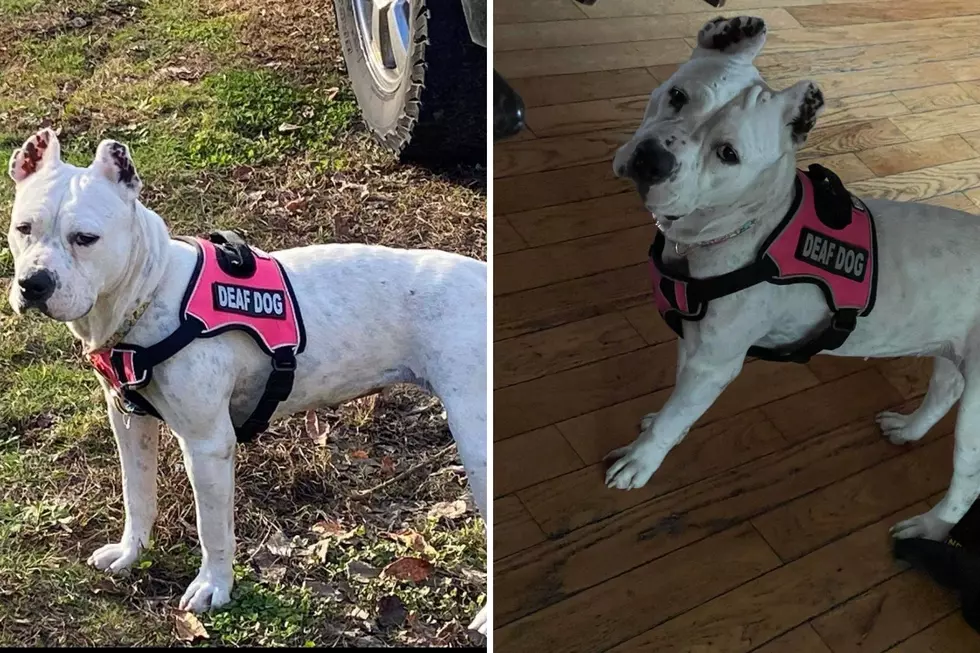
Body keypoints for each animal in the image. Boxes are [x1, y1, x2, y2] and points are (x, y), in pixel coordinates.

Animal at [3, 127, 486, 632]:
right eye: (23, 228)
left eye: (86, 238)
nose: (34, 283)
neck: (153, 291)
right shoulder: (130, 422)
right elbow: (137, 493)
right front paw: (131, 551)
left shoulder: (207, 446)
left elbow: (212, 527)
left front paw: (214, 585)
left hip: (478, 442)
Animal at [608, 15, 980, 544]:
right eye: (677, 95)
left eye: (728, 154)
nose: (652, 159)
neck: (750, 222)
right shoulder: (695, 342)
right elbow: (678, 404)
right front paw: (661, 422)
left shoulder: (715, 363)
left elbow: (678, 413)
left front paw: (641, 460)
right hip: (953, 353)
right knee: (944, 392)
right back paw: (907, 429)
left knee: (966, 483)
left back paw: (928, 527)